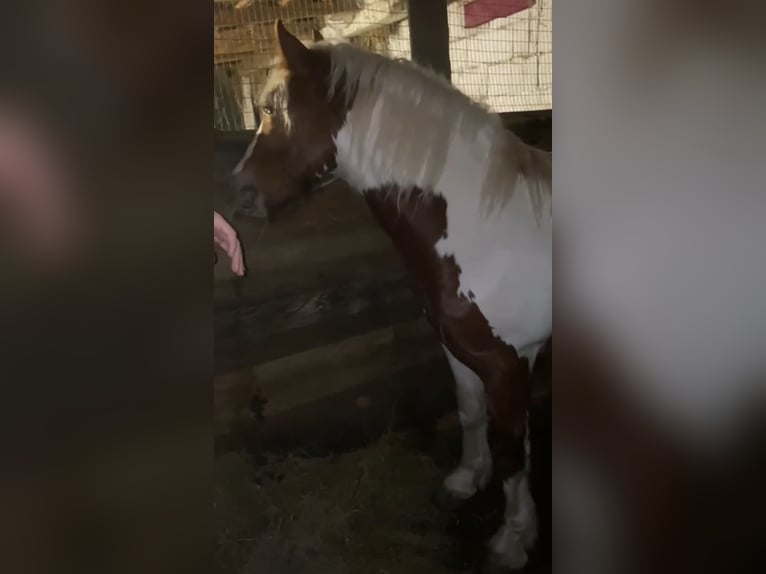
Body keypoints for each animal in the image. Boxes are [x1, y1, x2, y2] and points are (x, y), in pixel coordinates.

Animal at [231, 21, 552, 571]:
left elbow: (512, 446)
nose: (240, 193)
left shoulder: (512, 362)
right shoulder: (458, 347)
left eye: (271, 109)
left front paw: (513, 537)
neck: (486, 228)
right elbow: (470, 412)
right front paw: (465, 481)